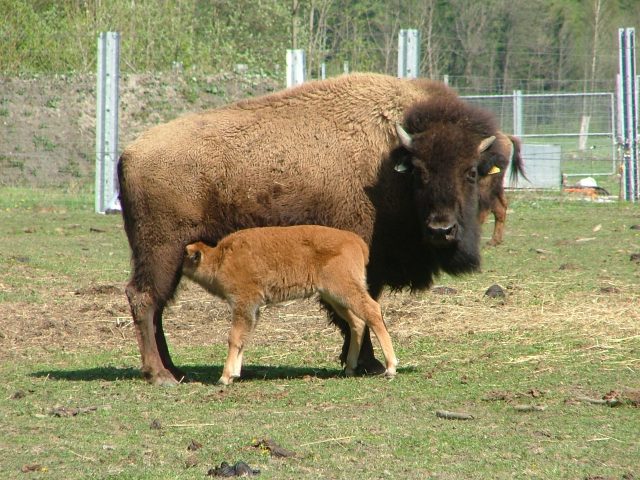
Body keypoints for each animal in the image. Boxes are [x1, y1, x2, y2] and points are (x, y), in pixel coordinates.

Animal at [120, 72, 500, 386]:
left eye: (471, 171)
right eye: (420, 172)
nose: (442, 229)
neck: (389, 162)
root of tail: (129, 153)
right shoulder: (366, 262)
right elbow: (362, 309)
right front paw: (369, 363)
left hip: (168, 255)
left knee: (157, 305)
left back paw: (174, 370)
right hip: (162, 249)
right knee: (145, 299)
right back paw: (160, 375)